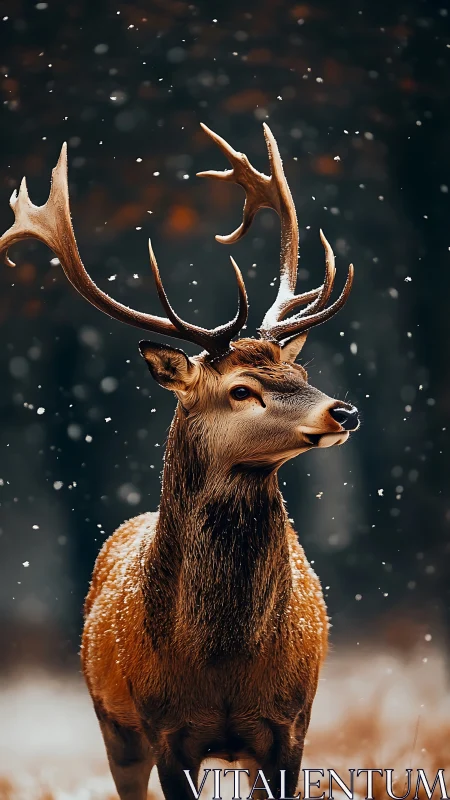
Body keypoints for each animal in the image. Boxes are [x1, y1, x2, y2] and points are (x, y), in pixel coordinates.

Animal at [0, 123, 359, 800]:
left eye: (300, 373)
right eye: (241, 389)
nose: (343, 412)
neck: (220, 663)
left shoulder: (291, 721)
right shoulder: (164, 729)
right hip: (112, 723)